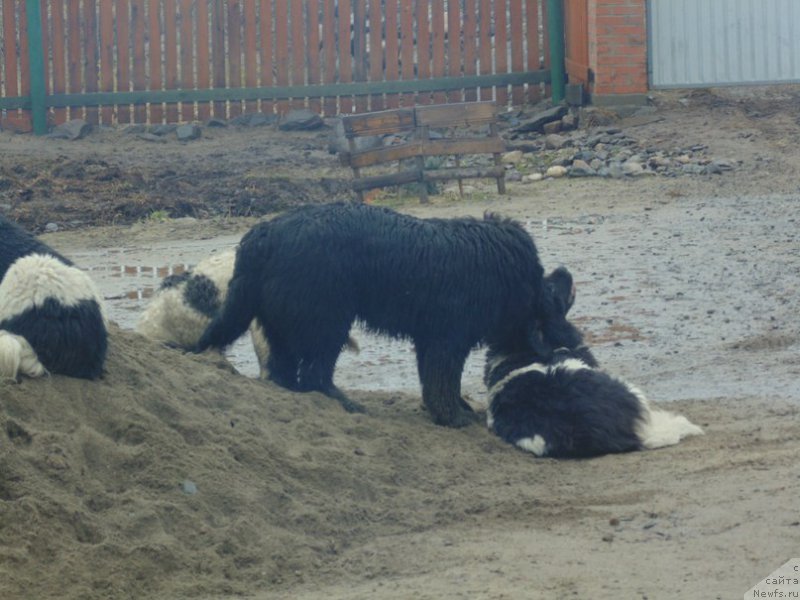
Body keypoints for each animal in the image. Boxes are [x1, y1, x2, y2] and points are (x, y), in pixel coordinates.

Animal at [197, 202, 580, 426]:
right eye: (558, 298)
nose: (566, 272)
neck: (518, 284)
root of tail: (263, 235)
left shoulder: (430, 340)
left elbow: (436, 381)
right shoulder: (447, 339)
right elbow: (443, 381)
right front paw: (453, 417)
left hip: (283, 326)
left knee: (287, 373)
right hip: (328, 320)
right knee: (316, 375)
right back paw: (346, 404)